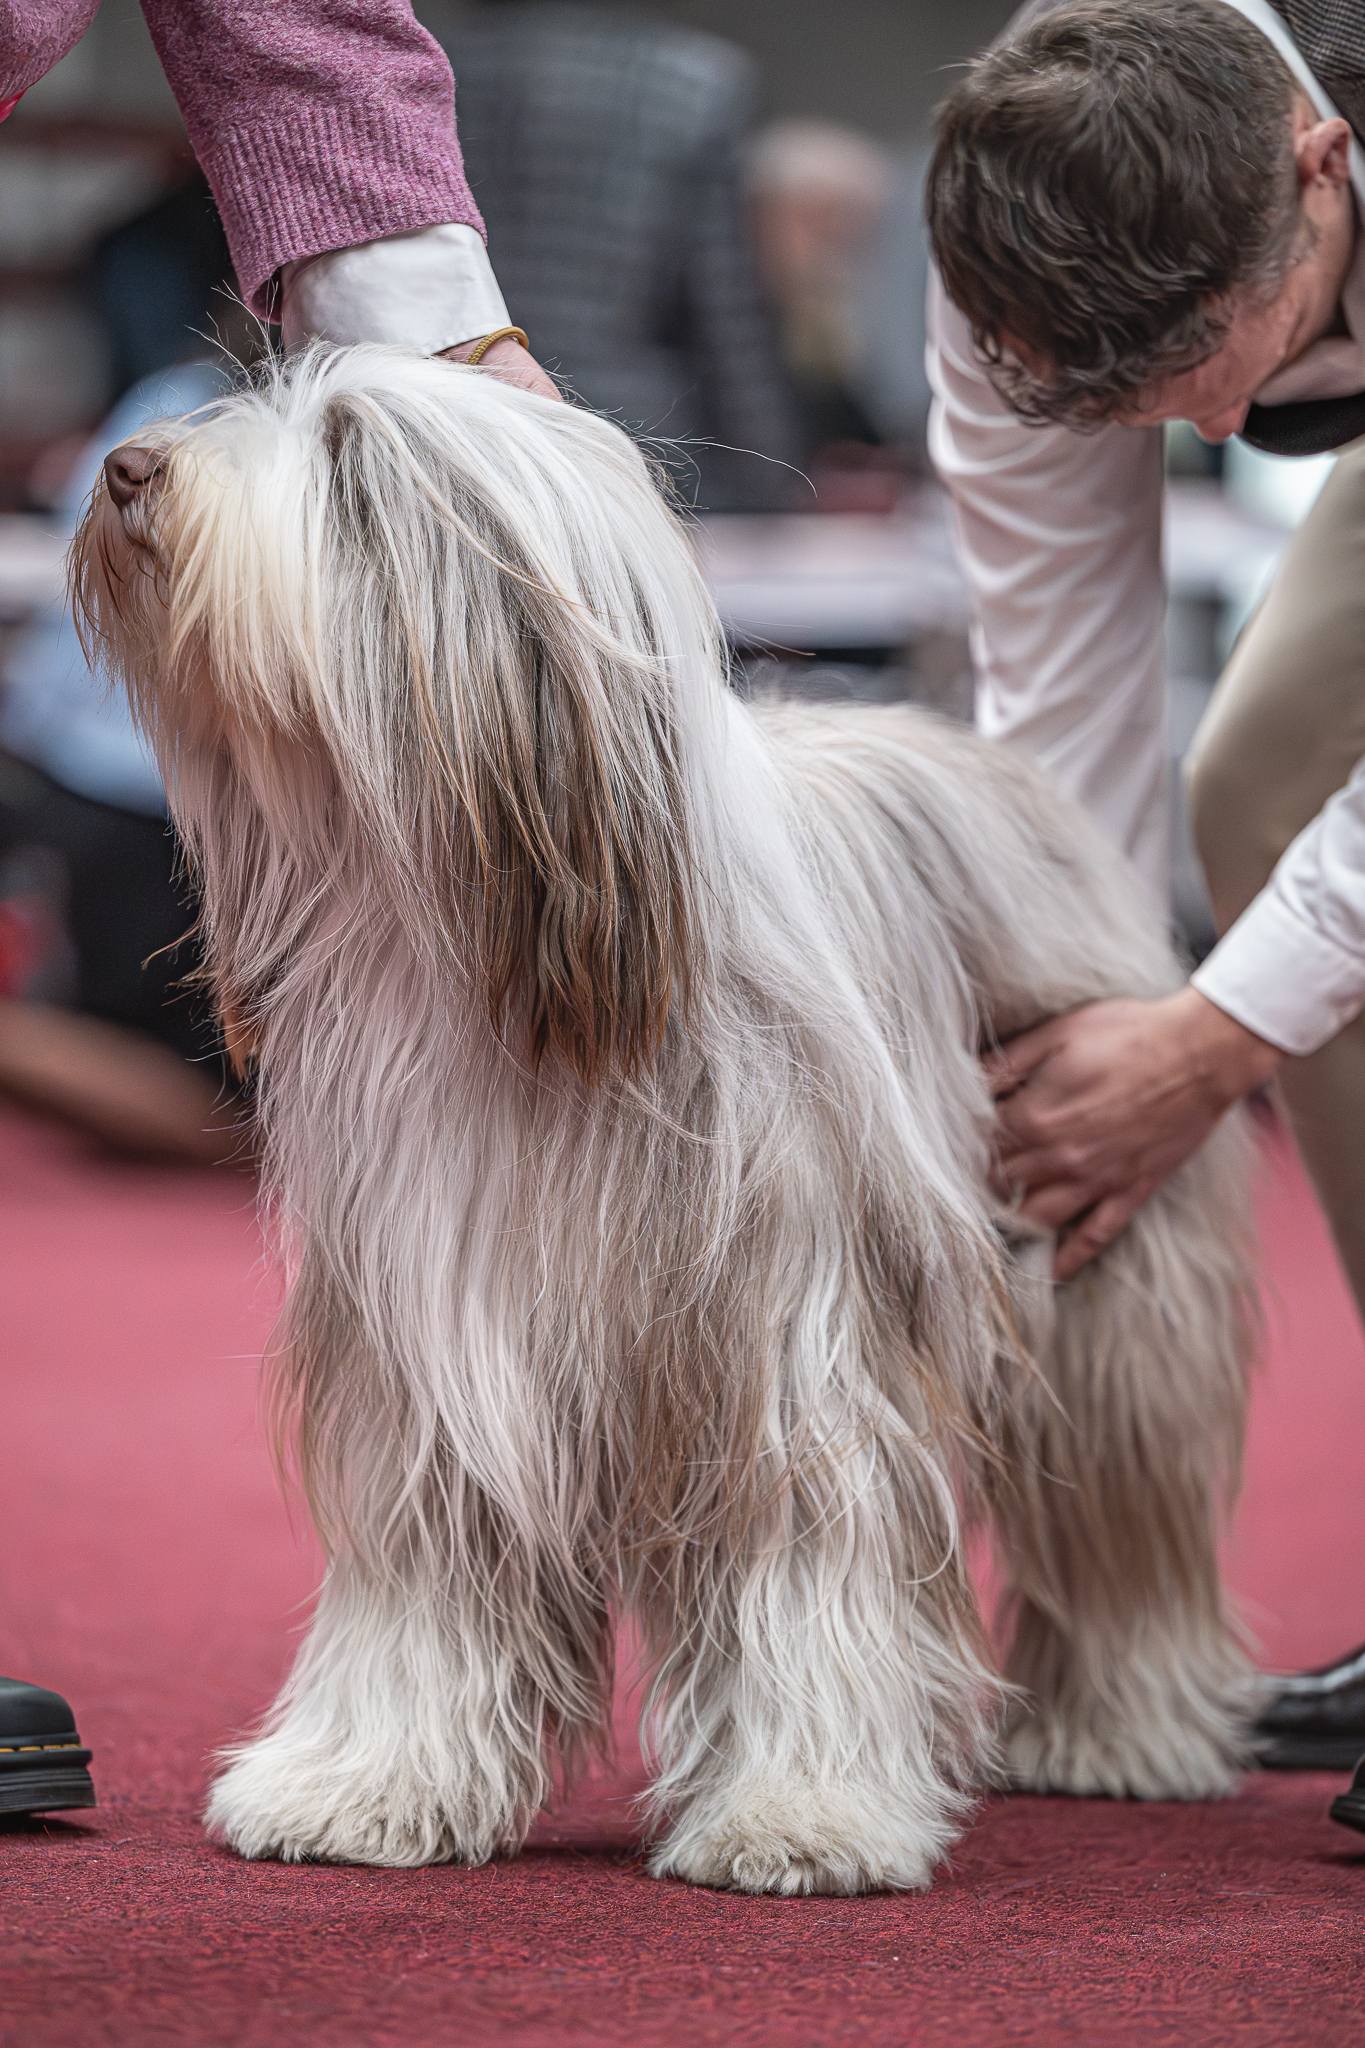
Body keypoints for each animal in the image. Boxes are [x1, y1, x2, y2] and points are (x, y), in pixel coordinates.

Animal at [74, 347, 1256, 1894]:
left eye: (345, 458)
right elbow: (425, 1578)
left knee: (1124, 1523)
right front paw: (367, 1782)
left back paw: (1121, 1731)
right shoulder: (434, 1349)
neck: (498, 973)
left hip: (1111, 1264)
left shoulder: (788, 1348)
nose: (125, 467)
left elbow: (807, 1572)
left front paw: (801, 1811)